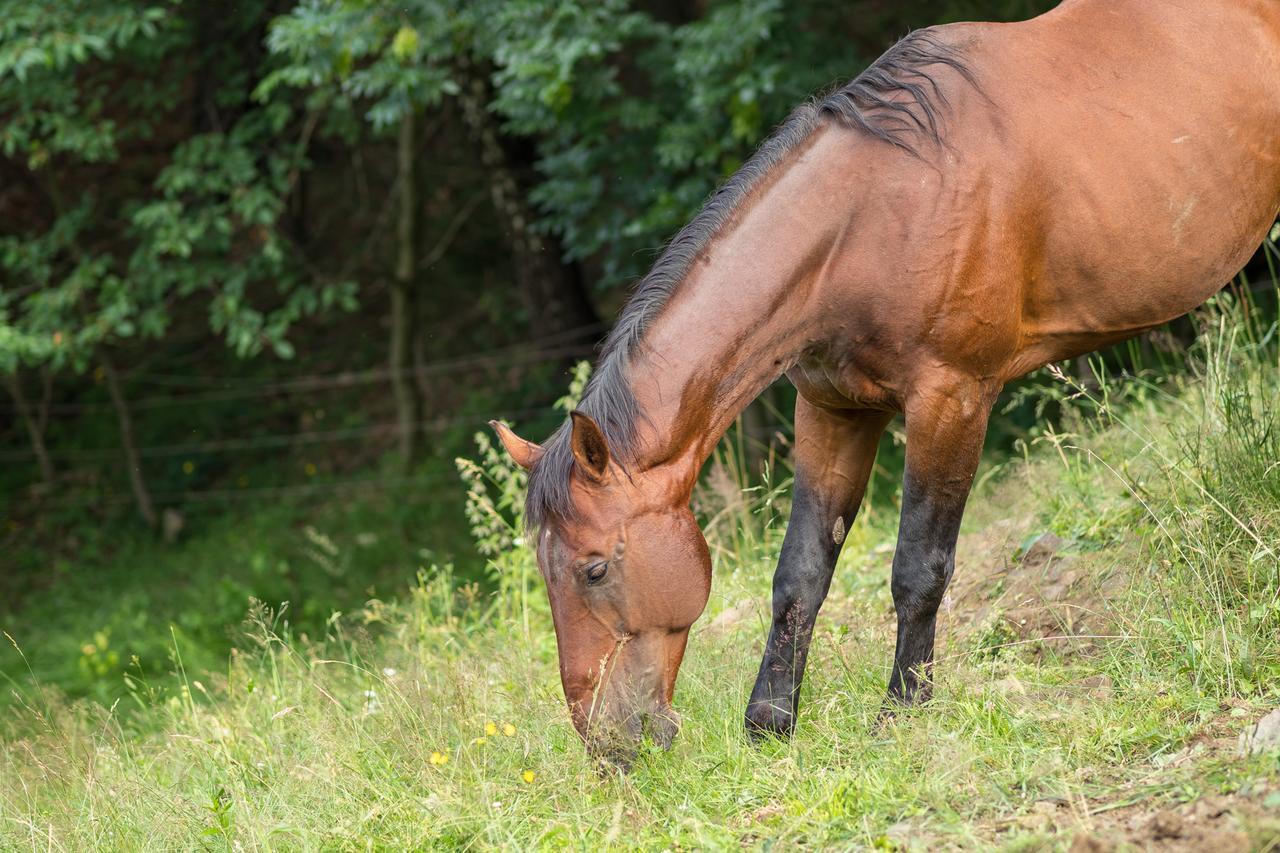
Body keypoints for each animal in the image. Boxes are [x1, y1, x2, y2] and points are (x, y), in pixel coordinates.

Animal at [488, 0, 1280, 758]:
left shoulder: (951, 401)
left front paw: (902, 711)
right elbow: (800, 572)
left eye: (594, 569)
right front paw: (770, 722)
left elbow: (918, 567)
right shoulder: (831, 409)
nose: (606, 745)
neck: (876, 217)